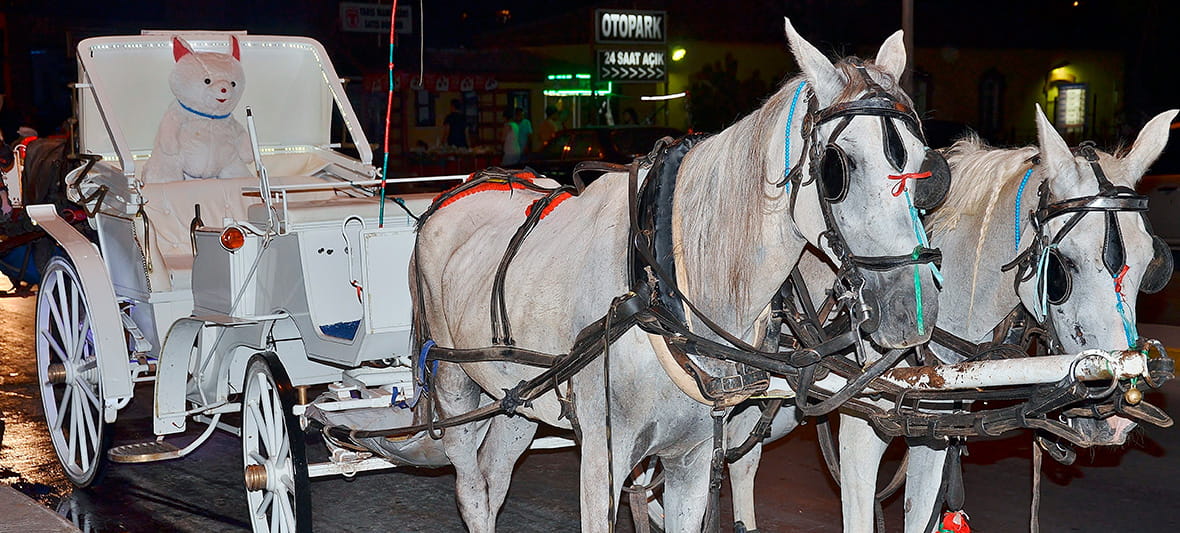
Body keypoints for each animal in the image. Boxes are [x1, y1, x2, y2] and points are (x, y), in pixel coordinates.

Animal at [410, 19, 941, 532]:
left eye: (925, 165)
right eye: (838, 168)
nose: (912, 312)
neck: (662, 285)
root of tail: (461, 188)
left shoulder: (693, 456)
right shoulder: (602, 459)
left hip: (517, 399)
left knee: (496, 473)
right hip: (456, 386)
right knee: (472, 490)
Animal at [719, 105, 1177, 533]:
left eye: (1149, 266)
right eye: (1062, 269)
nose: (1113, 418)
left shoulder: (933, 431)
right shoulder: (859, 432)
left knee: (743, 454)